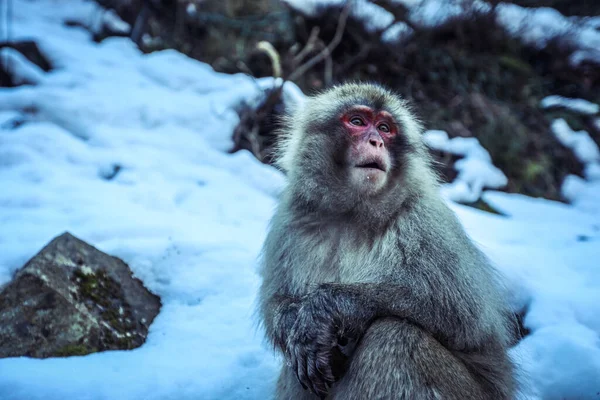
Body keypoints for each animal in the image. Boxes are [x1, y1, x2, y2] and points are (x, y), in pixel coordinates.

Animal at [258, 83, 516, 398]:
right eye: (357, 121)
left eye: (384, 128)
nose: (376, 142)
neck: (351, 213)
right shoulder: (290, 221)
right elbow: (278, 303)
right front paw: (293, 319)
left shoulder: (425, 222)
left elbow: (465, 318)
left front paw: (327, 307)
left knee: (396, 336)